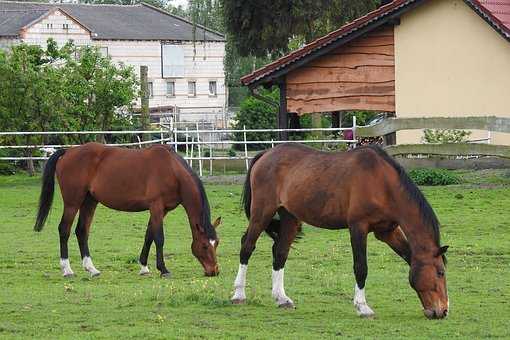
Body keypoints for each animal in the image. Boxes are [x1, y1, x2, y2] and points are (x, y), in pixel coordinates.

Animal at [33, 142, 221, 278]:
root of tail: (68, 152)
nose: (214, 271)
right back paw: (67, 270)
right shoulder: (156, 206)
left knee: (81, 231)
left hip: (89, 201)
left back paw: (92, 269)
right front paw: (163, 269)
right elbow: (159, 238)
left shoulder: (162, 210)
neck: (172, 171)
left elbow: (149, 236)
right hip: (73, 202)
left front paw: (144, 267)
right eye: (204, 246)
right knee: (64, 229)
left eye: (217, 243)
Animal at [229, 143, 448, 318]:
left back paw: (281, 298)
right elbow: (361, 267)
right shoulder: (358, 228)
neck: (382, 183)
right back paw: (239, 294)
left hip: (290, 218)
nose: (443, 311)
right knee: (247, 247)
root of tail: (266, 153)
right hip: (262, 212)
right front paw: (362, 307)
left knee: (280, 253)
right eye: (440, 272)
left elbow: (408, 256)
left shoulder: (387, 232)